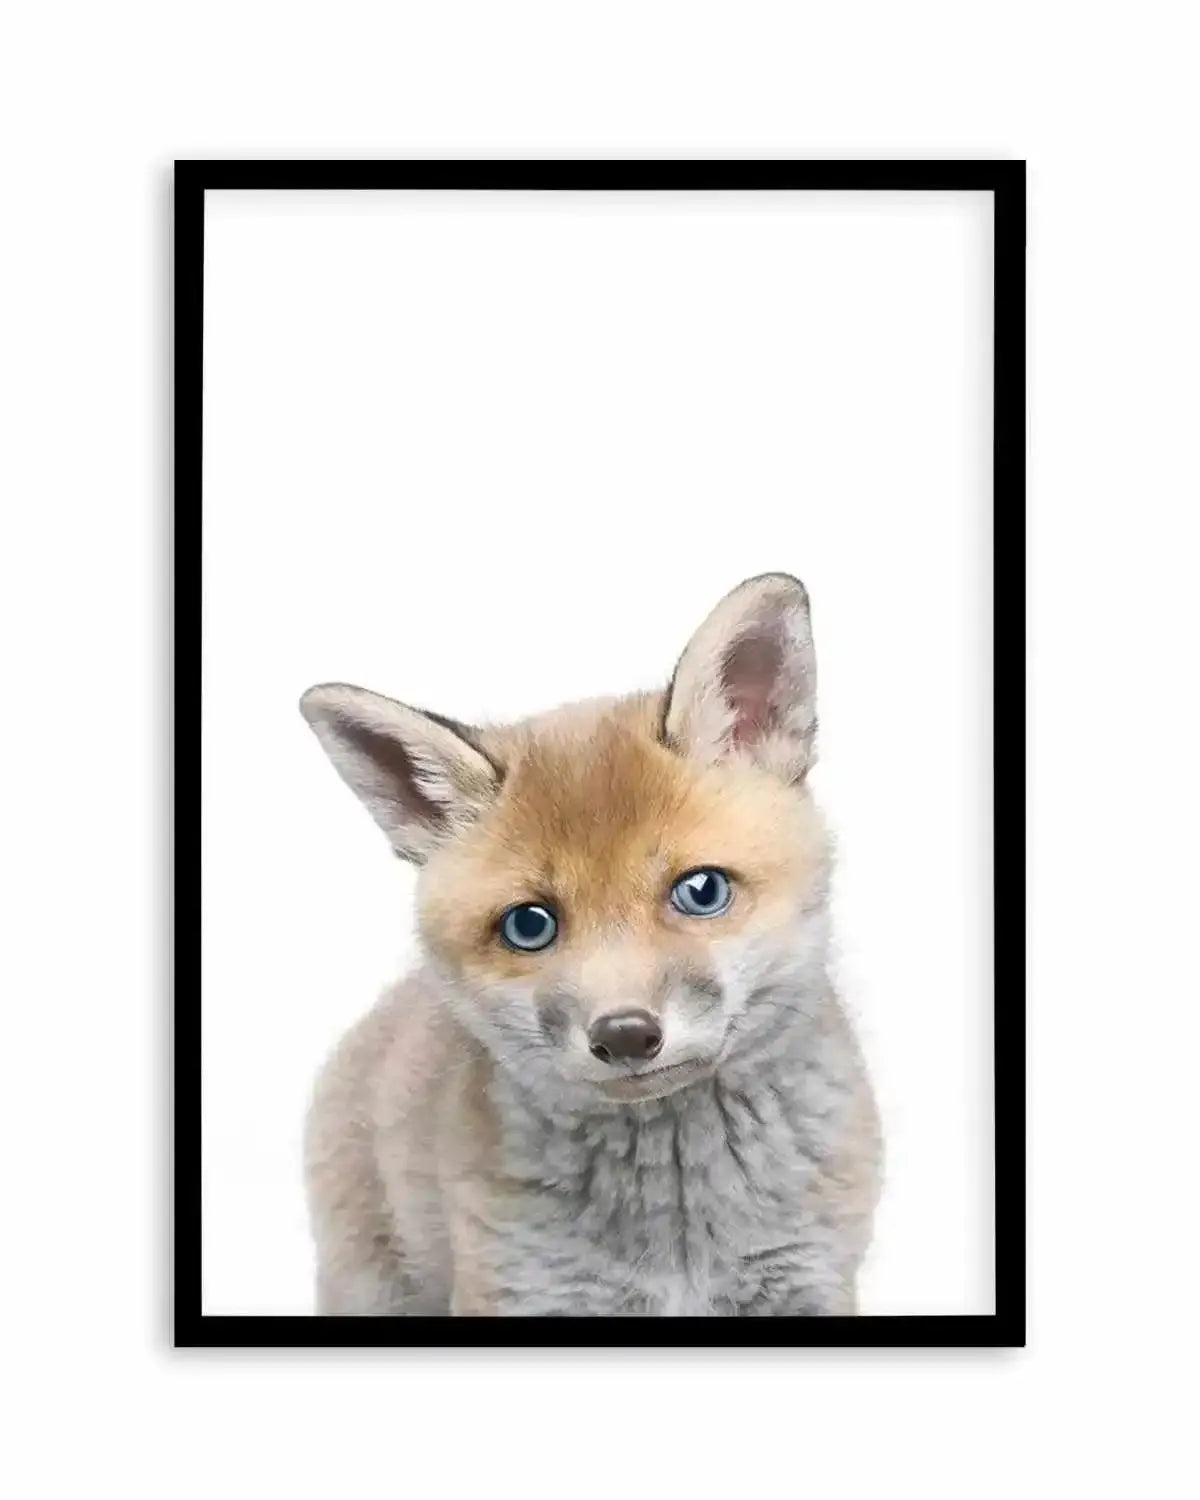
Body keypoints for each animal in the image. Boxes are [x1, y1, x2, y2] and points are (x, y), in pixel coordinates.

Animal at [299, 572, 882, 1316]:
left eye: (701, 891)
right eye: (530, 925)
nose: (626, 1034)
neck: (679, 1231)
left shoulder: (807, 1279)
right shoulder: (523, 1289)